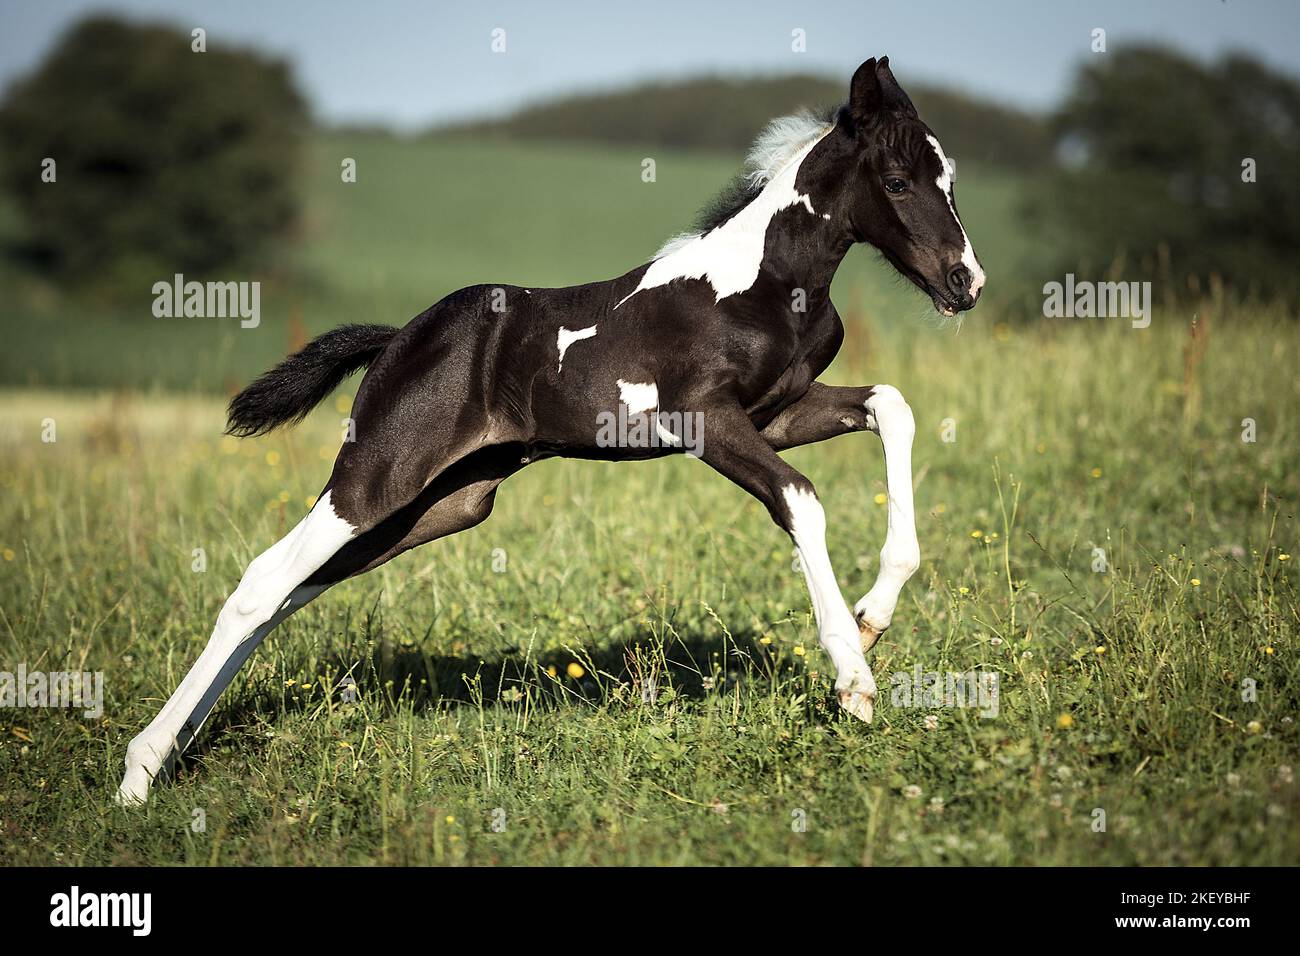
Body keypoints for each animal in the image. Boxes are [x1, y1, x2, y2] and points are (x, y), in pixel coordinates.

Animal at [116, 56, 984, 805]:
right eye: (898, 180)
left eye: (951, 179)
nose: (965, 282)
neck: (763, 281)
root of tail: (399, 339)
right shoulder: (707, 420)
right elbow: (801, 499)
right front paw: (854, 676)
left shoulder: (778, 413)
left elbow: (892, 406)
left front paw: (875, 614)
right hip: (379, 474)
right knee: (262, 581)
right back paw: (139, 772)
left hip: (443, 503)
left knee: (293, 589)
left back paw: (179, 749)